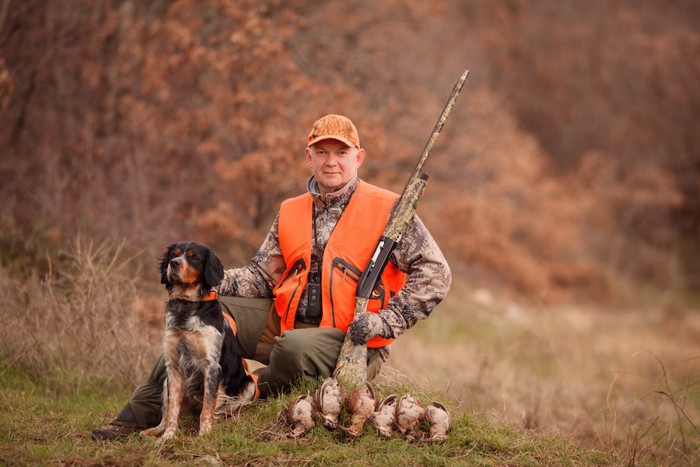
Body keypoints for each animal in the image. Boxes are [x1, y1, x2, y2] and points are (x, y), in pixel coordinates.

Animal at [140, 243, 258, 440]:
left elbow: (207, 407)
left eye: (194, 258)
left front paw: (204, 433)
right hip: (165, 384)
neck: (186, 306)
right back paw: (154, 430)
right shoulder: (174, 367)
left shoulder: (212, 366)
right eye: (174, 255)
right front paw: (168, 436)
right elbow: (172, 410)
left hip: (249, 387)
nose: (174, 263)